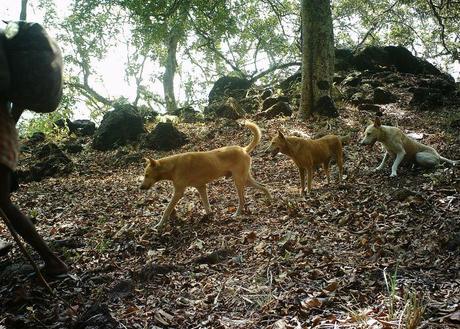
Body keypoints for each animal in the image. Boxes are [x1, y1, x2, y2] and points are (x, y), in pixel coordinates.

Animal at [140, 120, 270, 228]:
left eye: (147, 174)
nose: (141, 188)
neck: (173, 166)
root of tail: (243, 149)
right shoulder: (201, 187)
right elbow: (207, 205)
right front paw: (209, 217)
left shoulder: (178, 193)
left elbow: (167, 210)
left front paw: (159, 225)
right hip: (245, 179)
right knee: (264, 186)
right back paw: (270, 201)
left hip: (238, 181)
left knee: (242, 201)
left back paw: (237, 214)